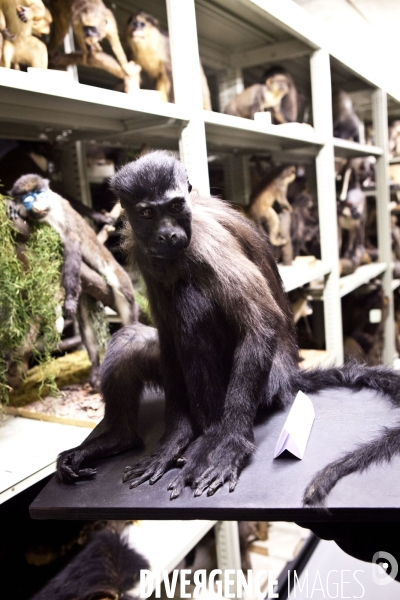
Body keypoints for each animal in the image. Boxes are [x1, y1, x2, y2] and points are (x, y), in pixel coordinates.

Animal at [56, 151, 400, 506]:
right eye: (148, 212)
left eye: (176, 206)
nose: (168, 234)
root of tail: (288, 375)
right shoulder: (145, 253)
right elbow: (167, 336)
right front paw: (174, 439)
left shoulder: (205, 244)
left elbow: (259, 324)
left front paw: (227, 445)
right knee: (130, 340)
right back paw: (120, 437)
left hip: (266, 383)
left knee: (193, 304)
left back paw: (208, 437)